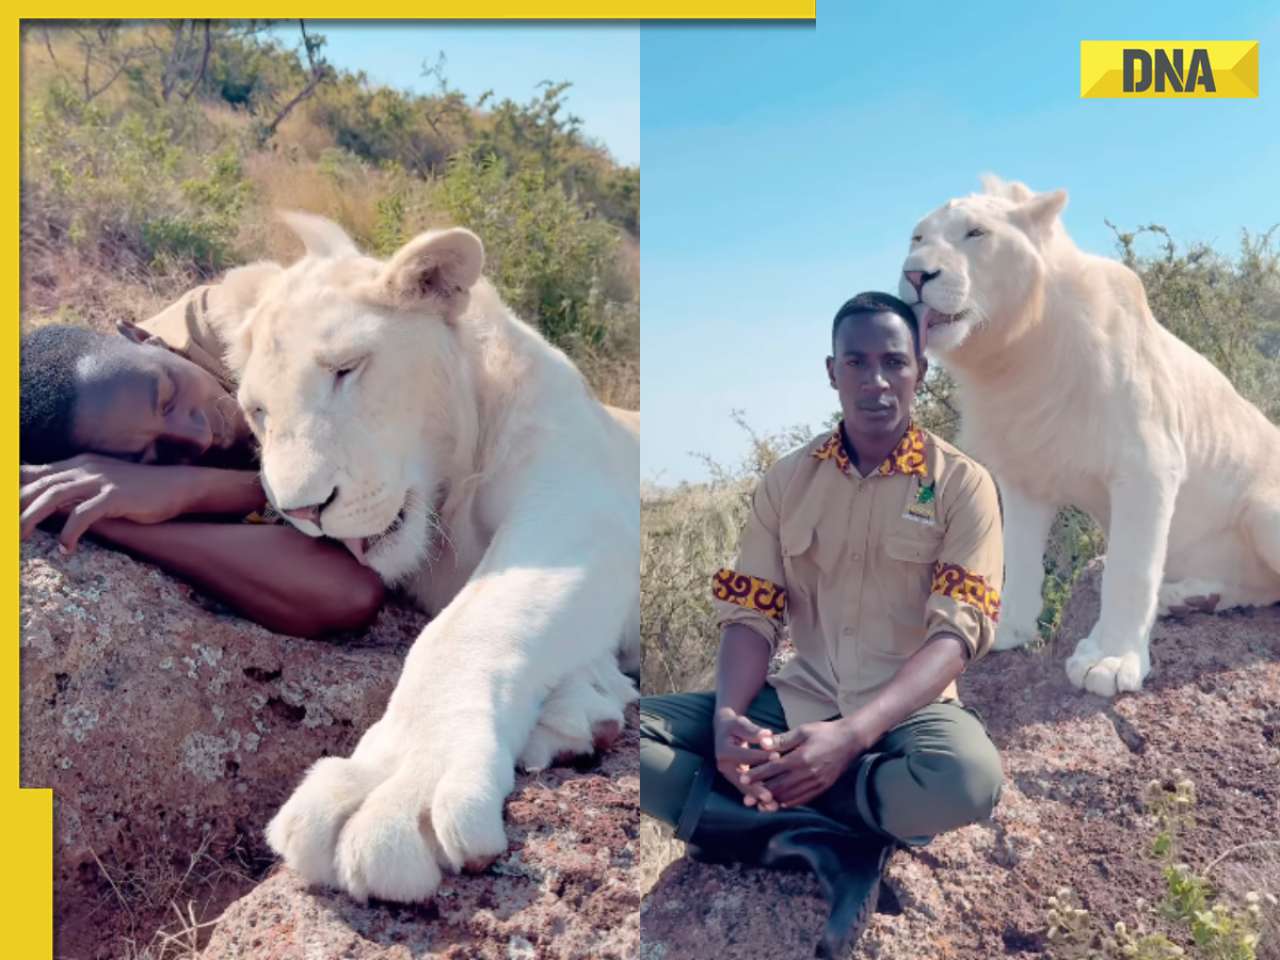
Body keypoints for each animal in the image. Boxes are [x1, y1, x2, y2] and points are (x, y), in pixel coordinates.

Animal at [227, 213, 637, 906]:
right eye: (258, 413)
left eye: (346, 369)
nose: (302, 509)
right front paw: (583, 702)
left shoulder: (582, 504)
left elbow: (470, 625)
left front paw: (387, 791)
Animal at [901, 175, 1280, 701]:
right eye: (917, 238)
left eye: (975, 233)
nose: (915, 275)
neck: (1010, 357)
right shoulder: (1023, 474)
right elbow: (1019, 558)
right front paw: (1010, 630)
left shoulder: (1148, 464)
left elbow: (1129, 568)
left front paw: (1110, 661)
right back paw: (1189, 598)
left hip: (1266, 513)